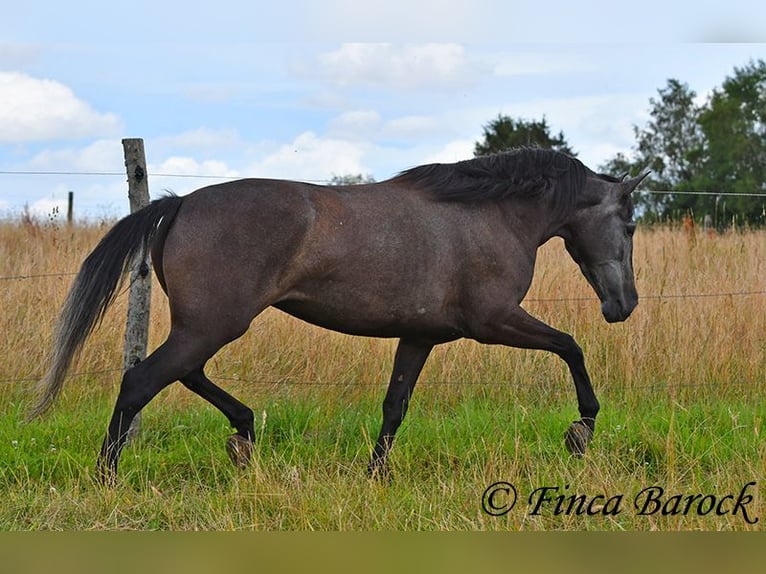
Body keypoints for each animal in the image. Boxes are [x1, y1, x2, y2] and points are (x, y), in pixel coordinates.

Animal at [27, 147, 648, 482]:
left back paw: (243, 434)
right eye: (632, 225)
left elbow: (396, 405)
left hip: (205, 326)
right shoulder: (493, 321)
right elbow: (571, 346)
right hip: (212, 325)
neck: (489, 213)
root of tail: (179, 204)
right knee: (142, 381)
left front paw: (376, 474)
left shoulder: (420, 335)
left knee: (184, 374)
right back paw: (109, 477)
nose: (624, 306)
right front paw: (580, 432)